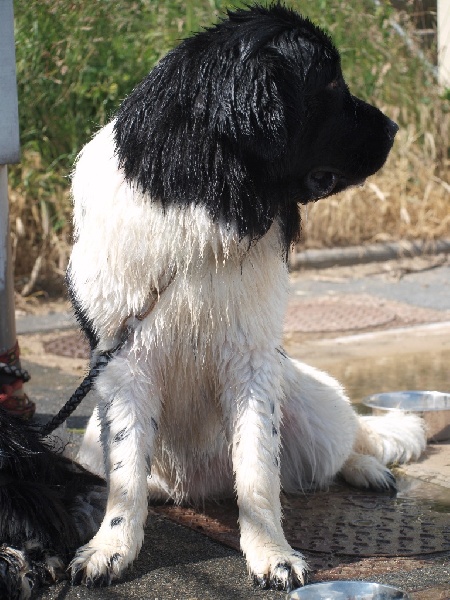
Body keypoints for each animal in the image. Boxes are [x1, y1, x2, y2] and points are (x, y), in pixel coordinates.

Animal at [63, 4, 426, 592]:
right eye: (330, 83)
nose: (395, 128)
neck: (206, 202)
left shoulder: (252, 359)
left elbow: (258, 470)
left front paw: (271, 554)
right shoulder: (123, 365)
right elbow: (125, 479)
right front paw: (111, 548)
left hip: (310, 400)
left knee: (344, 442)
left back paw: (369, 468)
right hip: (91, 441)